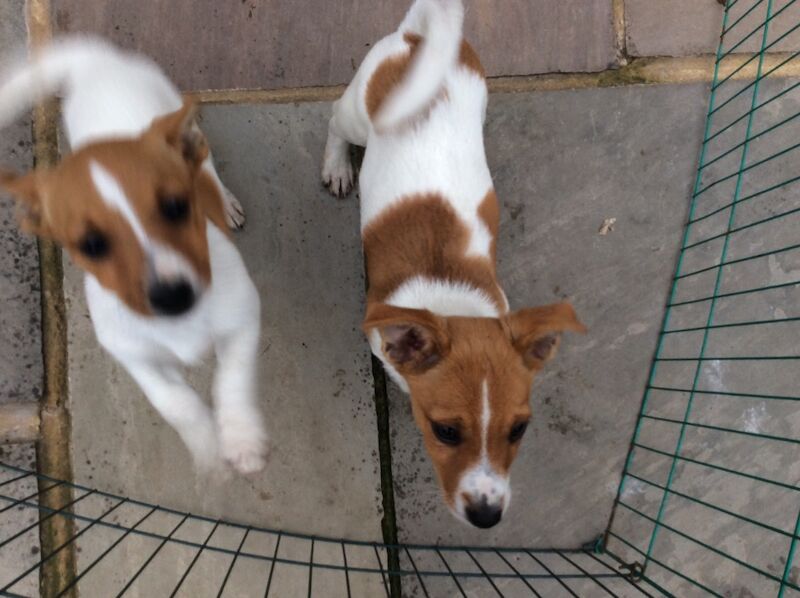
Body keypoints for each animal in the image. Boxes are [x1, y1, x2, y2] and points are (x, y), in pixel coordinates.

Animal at [0, 38, 268, 478]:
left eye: (177, 207)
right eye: (92, 245)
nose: (173, 296)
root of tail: (97, 60)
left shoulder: (242, 318)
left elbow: (232, 380)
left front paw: (241, 437)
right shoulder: (133, 355)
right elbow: (174, 400)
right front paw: (207, 444)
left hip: (187, 127)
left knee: (208, 167)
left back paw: (225, 201)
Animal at [322, 0, 584, 532]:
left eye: (519, 429)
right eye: (444, 431)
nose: (487, 516)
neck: (450, 300)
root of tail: (418, 39)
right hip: (357, 109)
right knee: (334, 123)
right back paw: (337, 165)